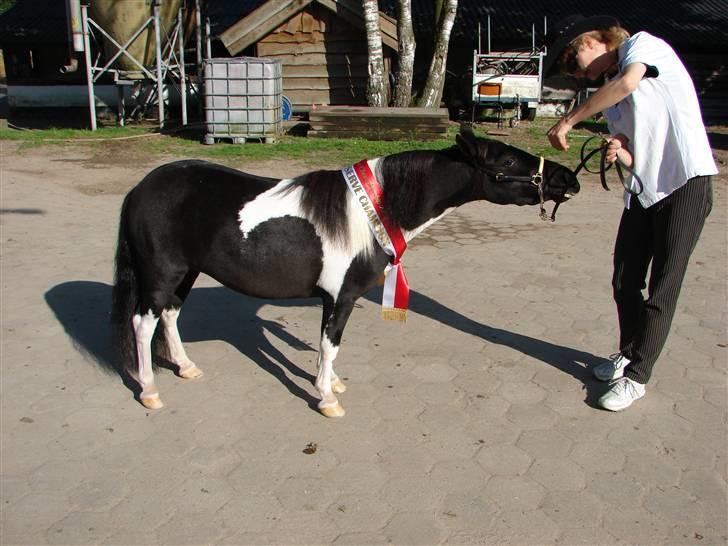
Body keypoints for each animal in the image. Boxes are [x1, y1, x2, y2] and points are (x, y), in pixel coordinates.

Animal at [114, 126, 580, 416]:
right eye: (508, 161)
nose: (568, 179)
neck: (373, 211)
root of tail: (141, 188)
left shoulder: (336, 299)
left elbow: (327, 348)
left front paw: (331, 383)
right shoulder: (341, 297)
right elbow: (331, 344)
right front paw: (327, 399)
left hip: (186, 273)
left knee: (170, 316)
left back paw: (186, 367)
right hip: (160, 274)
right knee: (142, 324)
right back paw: (149, 390)